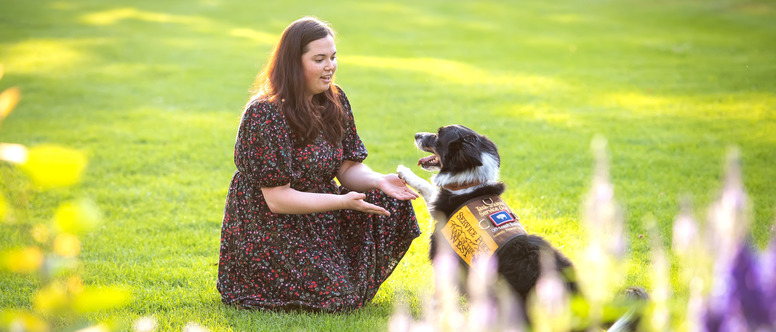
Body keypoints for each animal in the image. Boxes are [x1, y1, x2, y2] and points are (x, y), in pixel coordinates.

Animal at [398, 125, 644, 332]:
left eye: (439, 134)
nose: (416, 135)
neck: (469, 183)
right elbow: (430, 188)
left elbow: (430, 191)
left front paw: (404, 172)